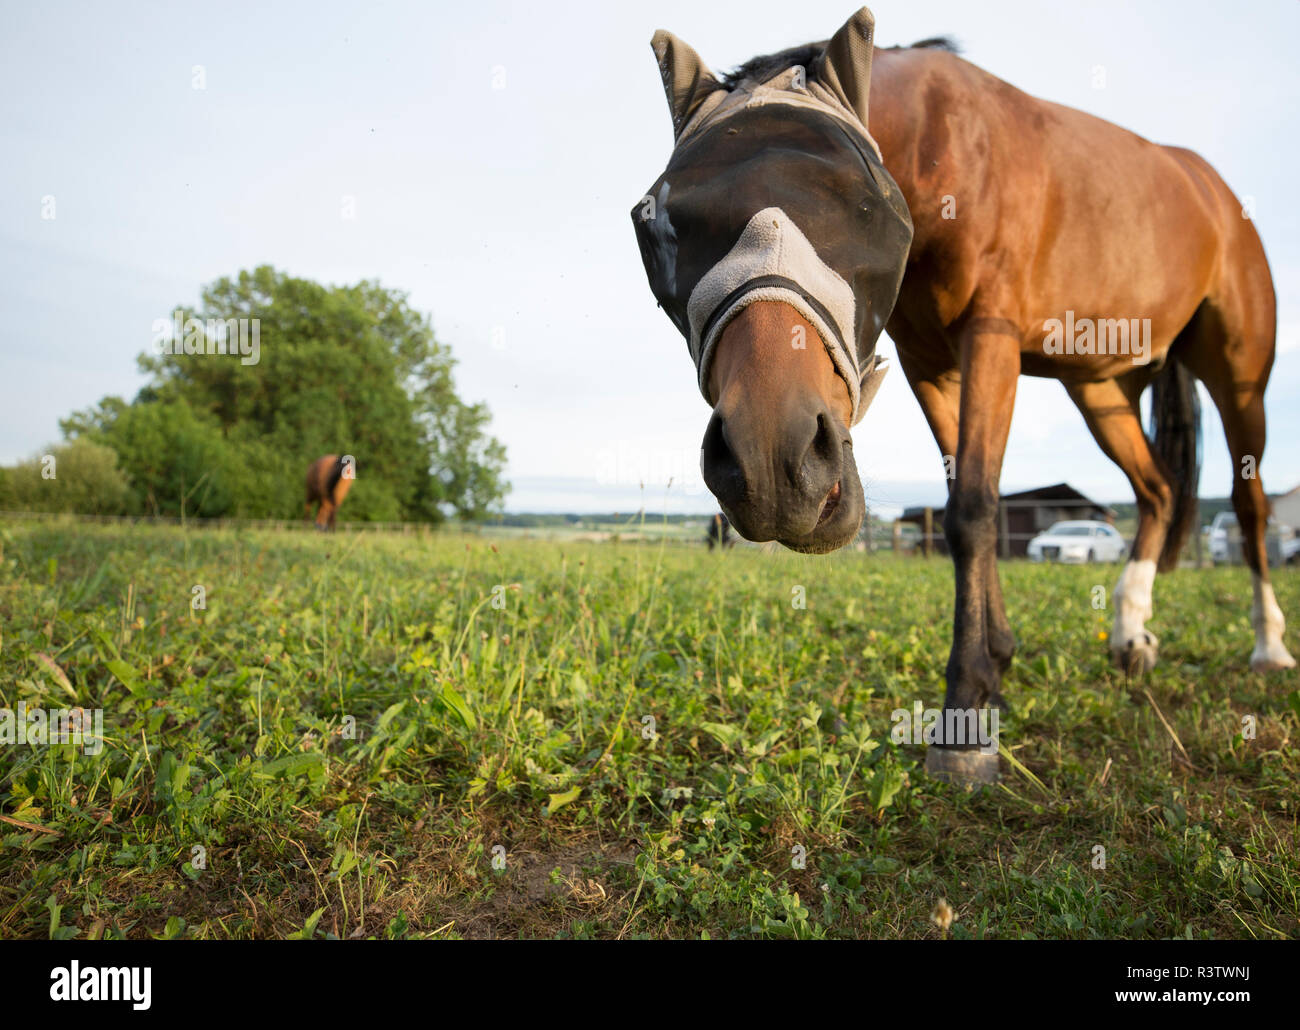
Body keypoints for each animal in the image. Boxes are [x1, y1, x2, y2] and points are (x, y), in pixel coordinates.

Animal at [631, 7, 1295, 784]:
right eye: (656, 223)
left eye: (866, 206)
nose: (773, 461)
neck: (937, 146)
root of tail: (1208, 187)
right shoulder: (929, 364)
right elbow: (965, 508)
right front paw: (994, 665)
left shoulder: (990, 339)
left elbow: (974, 509)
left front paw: (968, 713)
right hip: (1097, 388)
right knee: (1158, 489)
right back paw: (1131, 633)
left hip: (1239, 377)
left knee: (1248, 505)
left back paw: (1269, 643)